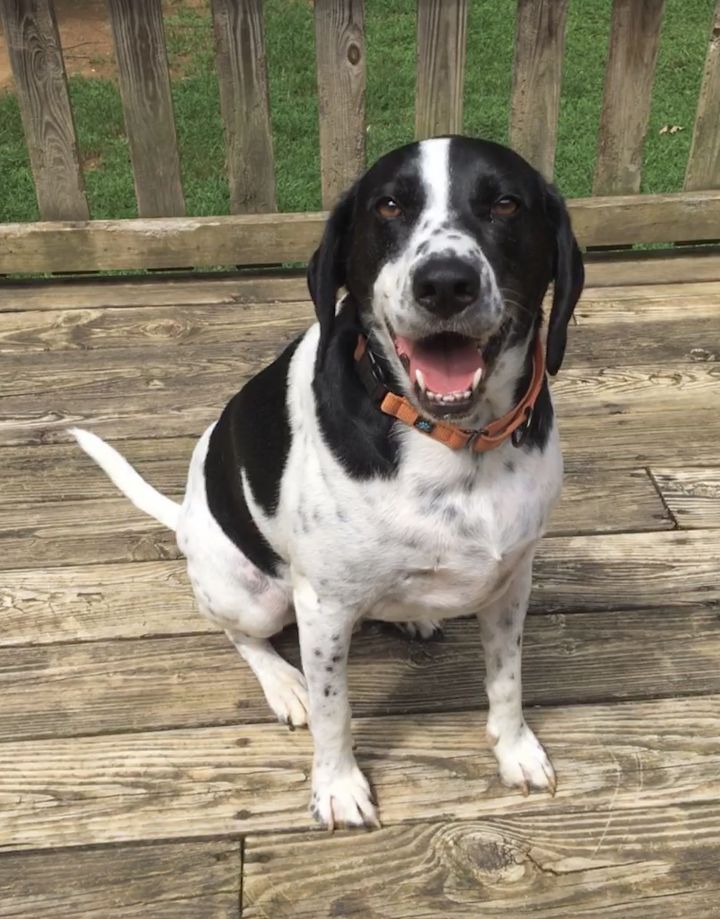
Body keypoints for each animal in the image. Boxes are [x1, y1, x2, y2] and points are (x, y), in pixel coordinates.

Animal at [70, 138, 584, 832]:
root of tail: (184, 516)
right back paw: (283, 683)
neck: (454, 443)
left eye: (505, 203)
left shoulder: (511, 582)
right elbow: (334, 711)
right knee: (240, 634)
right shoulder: (324, 608)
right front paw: (337, 787)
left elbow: (507, 679)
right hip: (252, 596)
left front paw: (516, 750)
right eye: (388, 206)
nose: (445, 282)